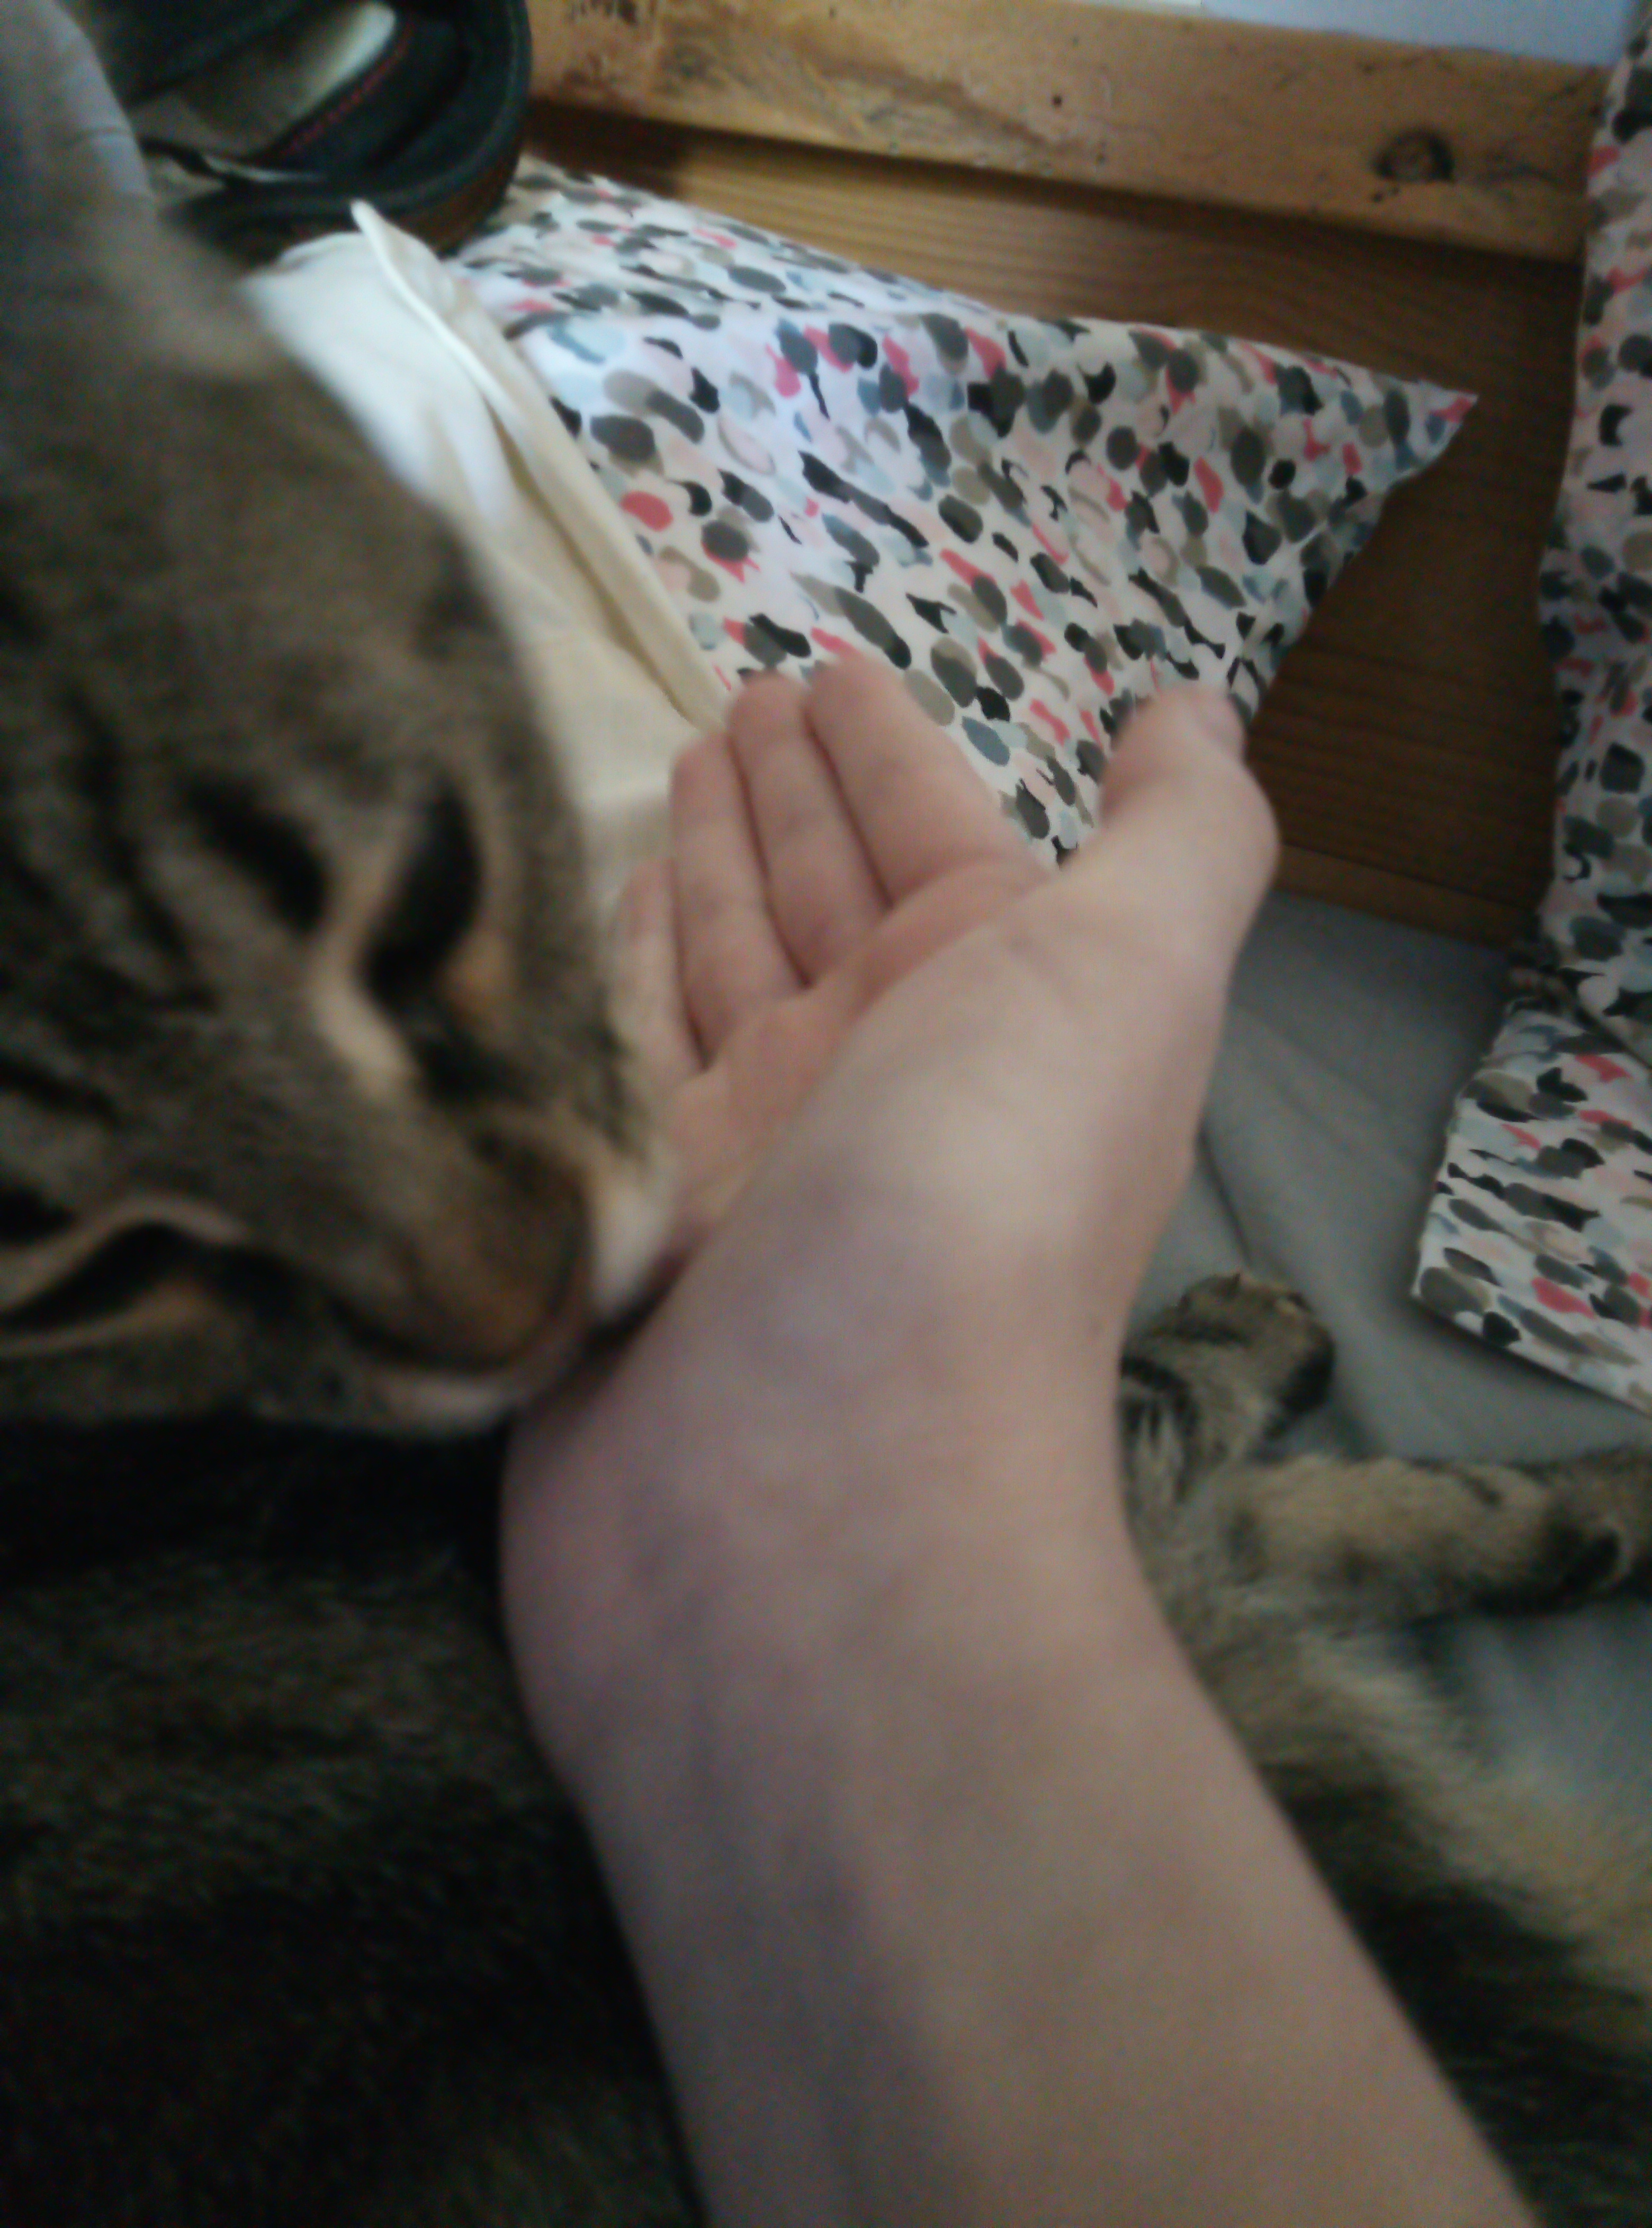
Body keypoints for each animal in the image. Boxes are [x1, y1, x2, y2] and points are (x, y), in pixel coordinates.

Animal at [2, 31, 1650, 2228]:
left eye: (427, 901)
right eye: (88, 1245)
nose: (517, 1297)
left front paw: (1568, 1509)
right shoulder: (1121, 1491)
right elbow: (1250, 1438)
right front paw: (1459, 1432)